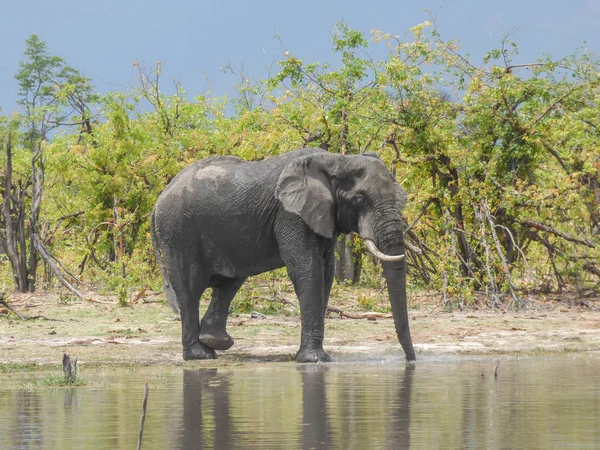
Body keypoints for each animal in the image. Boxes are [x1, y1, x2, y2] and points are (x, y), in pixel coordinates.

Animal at [151, 148, 418, 362]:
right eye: (360, 199)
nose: (411, 360)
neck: (337, 160)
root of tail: (158, 200)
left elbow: (326, 275)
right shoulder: (291, 214)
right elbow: (307, 270)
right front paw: (315, 360)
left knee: (230, 281)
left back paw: (216, 343)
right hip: (178, 231)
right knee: (190, 289)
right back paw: (200, 355)